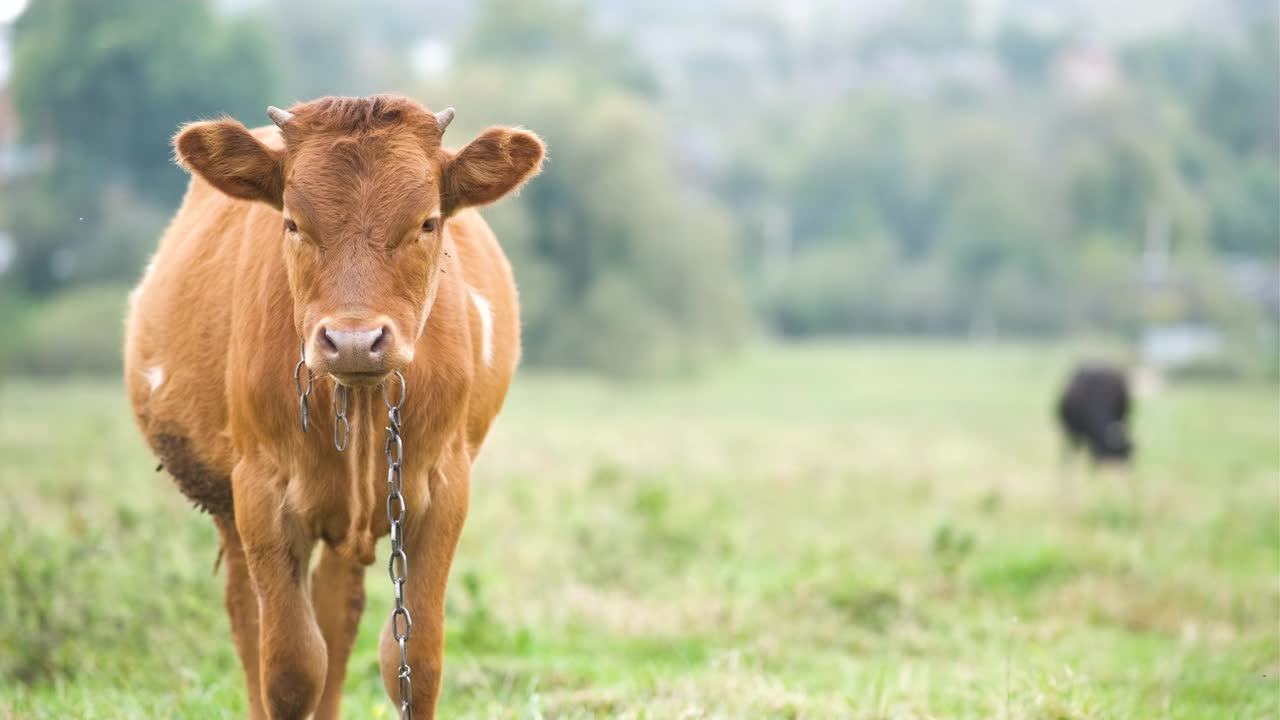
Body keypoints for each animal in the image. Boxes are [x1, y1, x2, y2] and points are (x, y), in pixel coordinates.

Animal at [128, 96, 545, 717]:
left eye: (427, 222)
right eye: (292, 223)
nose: (353, 340)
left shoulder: (444, 489)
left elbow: (415, 660)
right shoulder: (260, 491)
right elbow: (291, 667)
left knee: (336, 613)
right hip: (225, 498)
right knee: (249, 617)